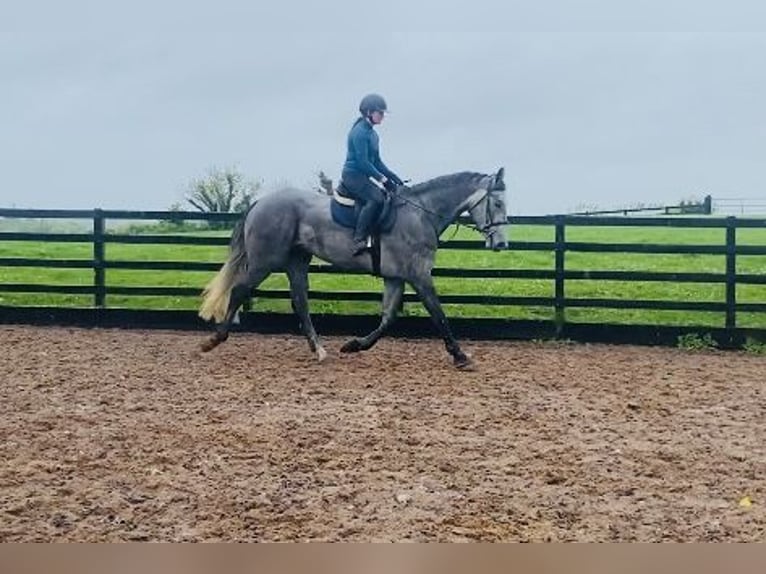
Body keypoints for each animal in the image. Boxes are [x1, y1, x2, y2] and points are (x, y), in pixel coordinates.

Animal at [198, 169, 510, 372]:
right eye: (497, 202)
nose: (502, 244)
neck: (420, 213)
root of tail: (261, 202)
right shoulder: (419, 276)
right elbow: (439, 315)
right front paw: (460, 355)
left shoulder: (395, 277)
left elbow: (388, 318)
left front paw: (354, 345)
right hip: (264, 262)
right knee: (240, 289)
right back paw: (214, 340)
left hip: (296, 262)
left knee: (300, 302)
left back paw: (319, 349)